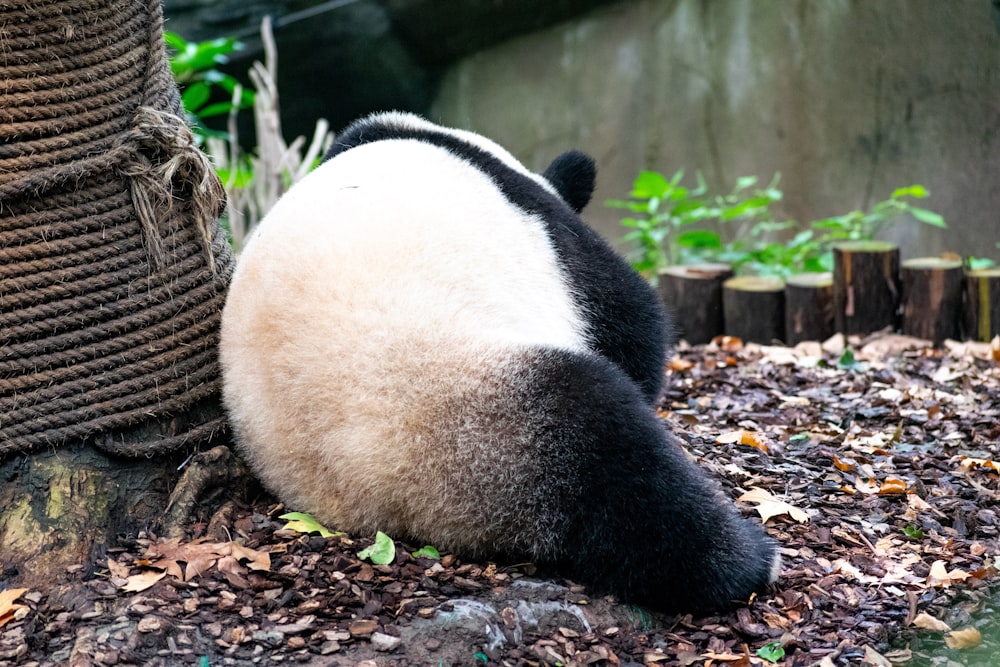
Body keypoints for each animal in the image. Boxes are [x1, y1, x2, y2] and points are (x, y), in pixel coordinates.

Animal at [221, 111, 780, 616]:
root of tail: (370, 496)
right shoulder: (553, 233)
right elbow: (632, 319)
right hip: (472, 411)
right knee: (611, 458)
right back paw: (743, 561)